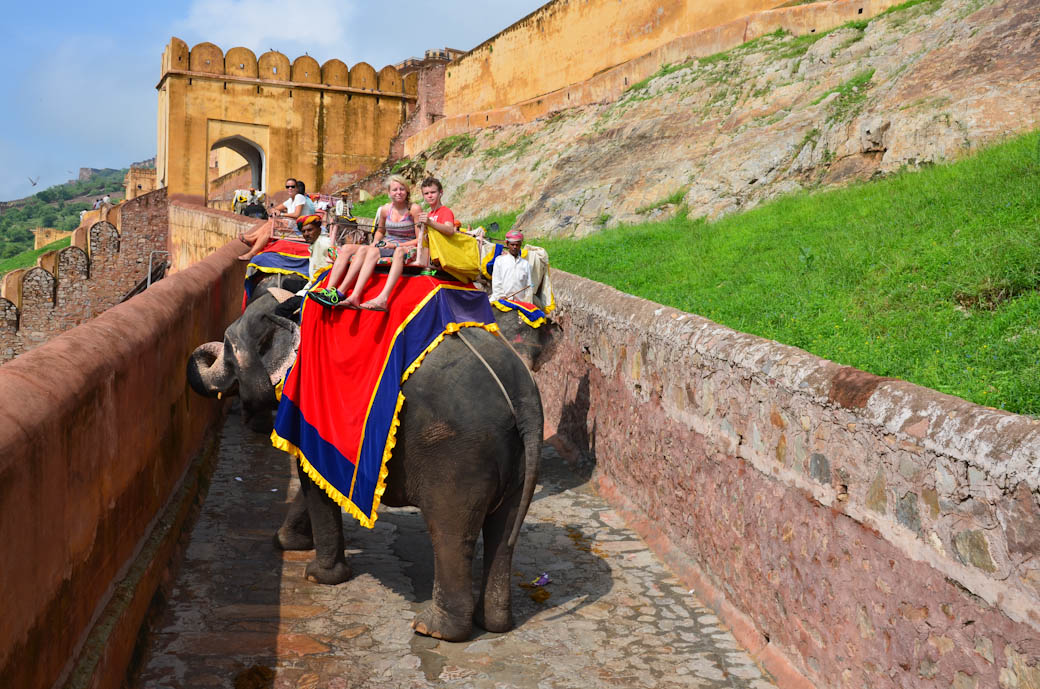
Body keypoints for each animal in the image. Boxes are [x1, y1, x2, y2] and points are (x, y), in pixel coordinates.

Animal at [187, 282, 558, 641]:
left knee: (451, 533)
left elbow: (310, 479)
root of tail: (524, 401)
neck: (293, 305)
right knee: (504, 531)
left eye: (229, 349)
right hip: (517, 458)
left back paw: (434, 629)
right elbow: (315, 477)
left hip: (459, 455)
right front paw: (287, 543)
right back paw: (495, 624)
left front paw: (316, 575)